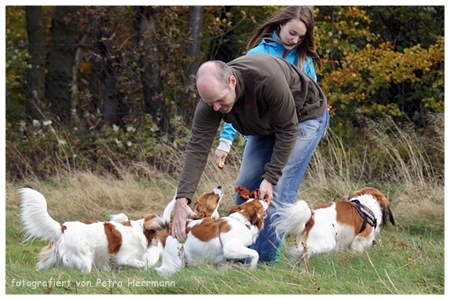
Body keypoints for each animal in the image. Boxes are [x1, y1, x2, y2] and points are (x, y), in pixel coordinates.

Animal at [18, 185, 223, 272]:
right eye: (209, 195)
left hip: (51, 260)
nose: (219, 187)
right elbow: (142, 263)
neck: (141, 231)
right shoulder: (127, 257)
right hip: (84, 258)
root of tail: (62, 227)